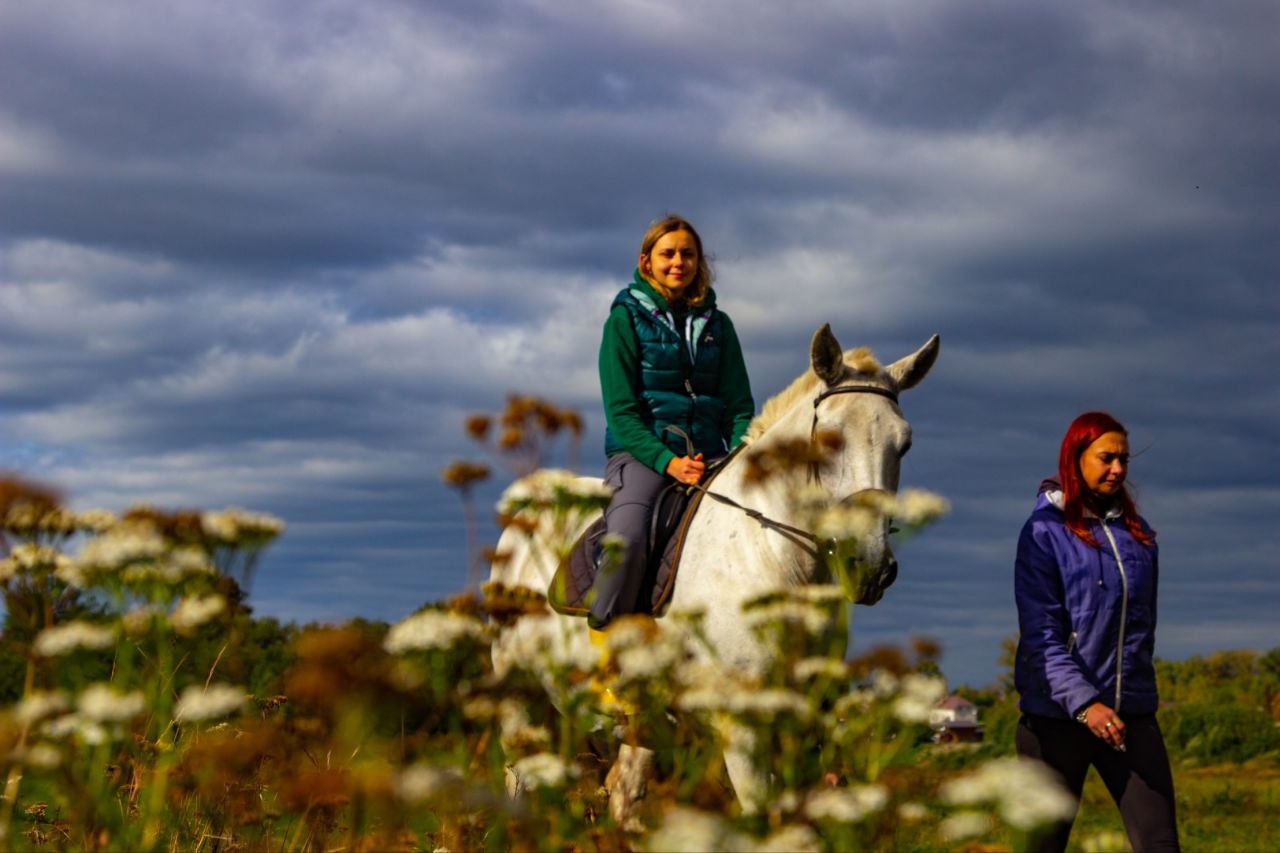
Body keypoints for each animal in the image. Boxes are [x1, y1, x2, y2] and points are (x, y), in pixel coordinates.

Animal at [488, 324, 942, 809]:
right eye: (830, 439)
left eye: (904, 444)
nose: (869, 566)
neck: (766, 554)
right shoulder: (744, 730)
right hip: (522, 707)